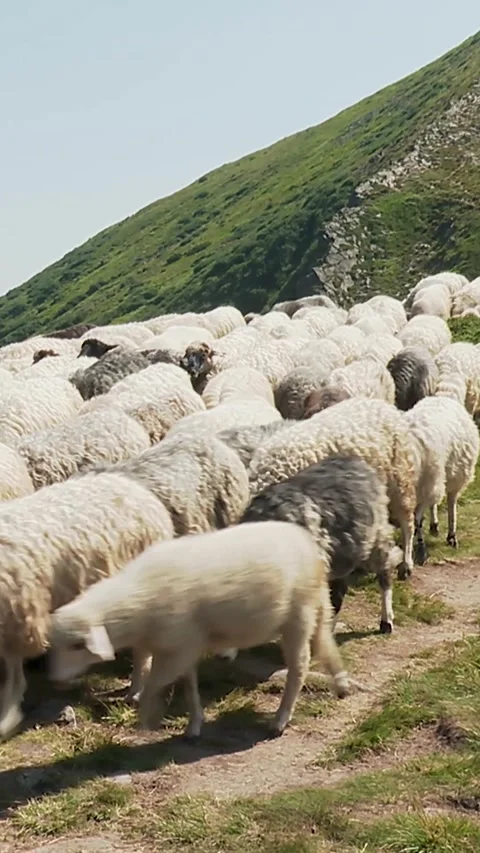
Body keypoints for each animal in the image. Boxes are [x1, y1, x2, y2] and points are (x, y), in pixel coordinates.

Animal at [0, 470, 174, 739]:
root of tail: (138, 491)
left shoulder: (19, 617)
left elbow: (14, 671)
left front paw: (7, 715)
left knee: (143, 647)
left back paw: (136, 689)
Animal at [48, 520, 349, 739]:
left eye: (77, 645)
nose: (55, 680)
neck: (137, 605)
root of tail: (309, 545)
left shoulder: (178, 649)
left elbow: (155, 683)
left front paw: (148, 717)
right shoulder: (184, 646)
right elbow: (189, 684)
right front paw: (194, 724)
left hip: (297, 617)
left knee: (300, 666)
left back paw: (280, 719)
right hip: (317, 604)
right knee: (325, 642)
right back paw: (341, 683)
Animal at [242, 456, 403, 633]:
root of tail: (353, 460)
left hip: (375, 538)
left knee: (386, 570)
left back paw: (386, 621)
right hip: (345, 551)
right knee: (339, 592)